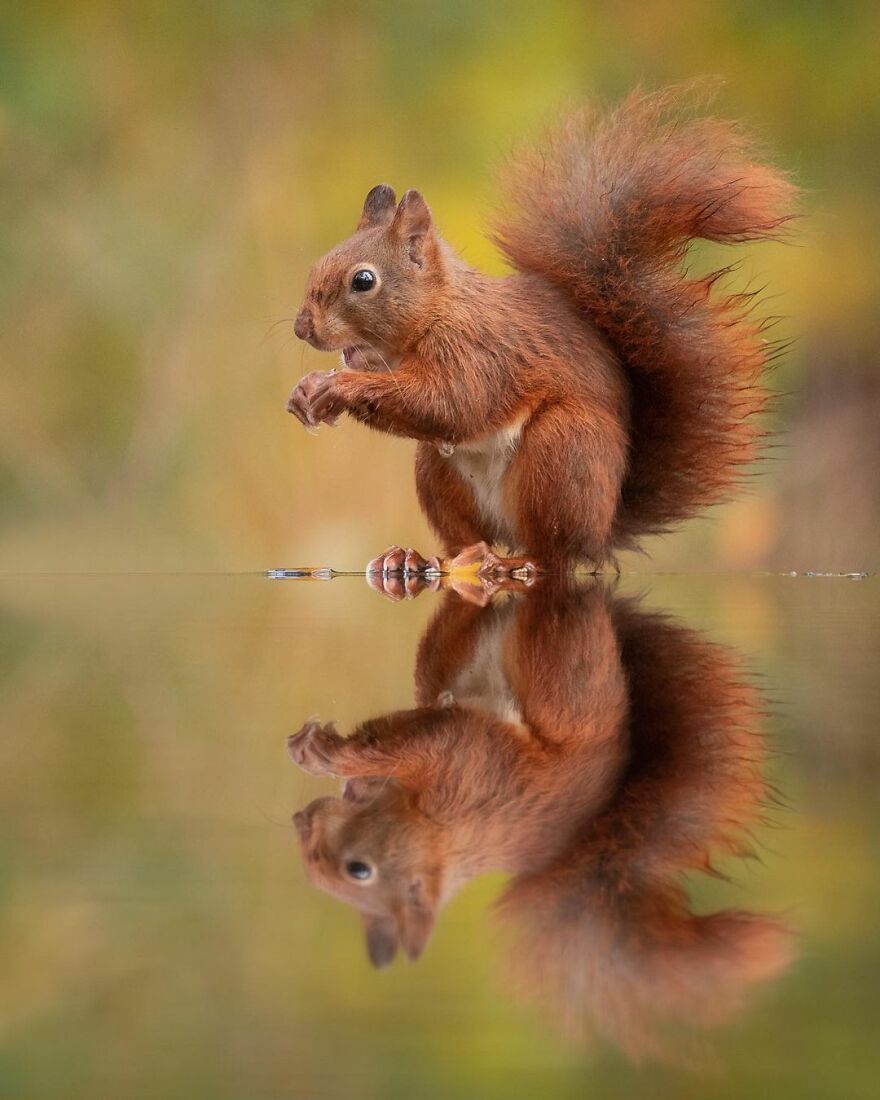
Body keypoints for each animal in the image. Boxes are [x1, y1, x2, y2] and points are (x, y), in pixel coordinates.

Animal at [288, 87, 796, 575]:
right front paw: (306, 392)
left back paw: (513, 563)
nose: (301, 328)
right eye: (317, 264)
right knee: (462, 541)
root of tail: (603, 529)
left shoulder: (479, 351)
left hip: (561, 452)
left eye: (363, 281)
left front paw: (338, 388)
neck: (437, 312)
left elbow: (452, 403)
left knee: (555, 554)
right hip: (437, 469)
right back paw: (420, 560)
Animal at [288, 578, 793, 1057]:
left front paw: (328, 755)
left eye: (359, 871)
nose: (301, 823)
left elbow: (401, 741)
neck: (438, 835)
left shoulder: (463, 763)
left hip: (556, 671)